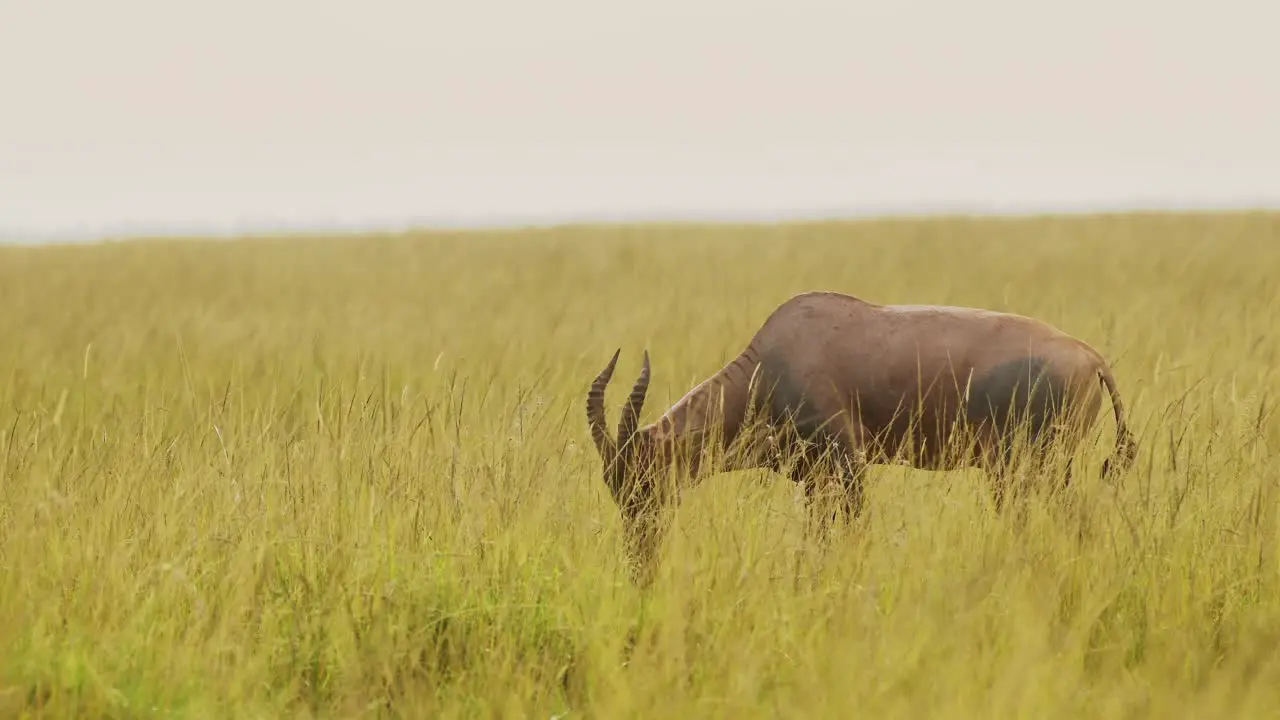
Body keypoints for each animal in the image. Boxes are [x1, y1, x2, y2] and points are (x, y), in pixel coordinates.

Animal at [586, 289, 1136, 576]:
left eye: (644, 478)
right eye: (614, 486)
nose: (640, 562)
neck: (773, 361)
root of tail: (1092, 357)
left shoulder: (847, 461)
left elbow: (854, 530)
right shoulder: (814, 478)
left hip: (1033, 468)